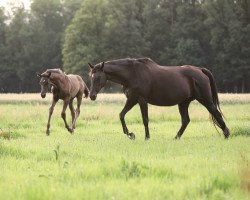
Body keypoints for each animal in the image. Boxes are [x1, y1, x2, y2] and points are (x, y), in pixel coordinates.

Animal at [88, 57, 230, 140]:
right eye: (91, 77)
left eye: (98, 77)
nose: (92, 96)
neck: (132, 74)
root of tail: (200, 70)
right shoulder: (132, 100)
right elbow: (121, 115)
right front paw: (130, 134)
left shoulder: (141, 100)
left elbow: (145, 119)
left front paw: (146, 137)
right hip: (183, 103)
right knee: (186, 120)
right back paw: (176, 137)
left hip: (205, 100)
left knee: (216, 113)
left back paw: (227, 134)